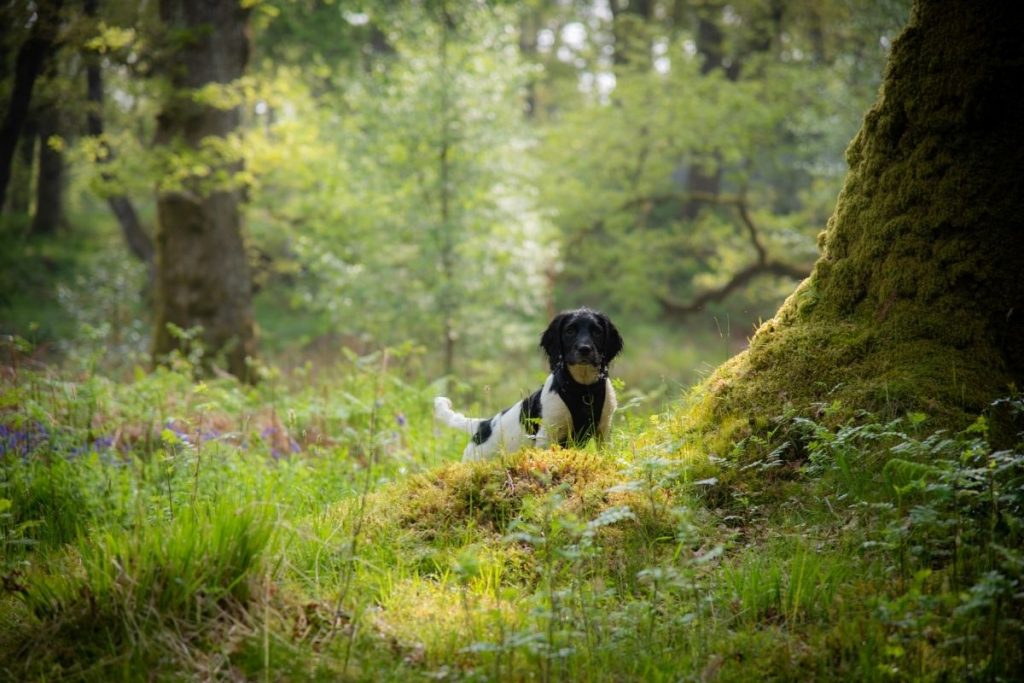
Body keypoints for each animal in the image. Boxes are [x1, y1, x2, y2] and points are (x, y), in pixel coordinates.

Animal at [434, 309, 622, 458]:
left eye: (597, 332)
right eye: (570, 331)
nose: (584, 349)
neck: (583, 389)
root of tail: (484, 424)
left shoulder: (604, 429)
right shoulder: (547, 435)